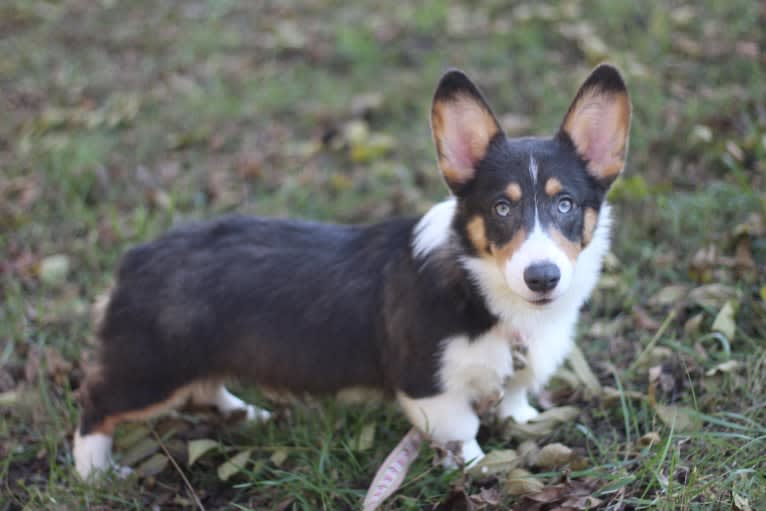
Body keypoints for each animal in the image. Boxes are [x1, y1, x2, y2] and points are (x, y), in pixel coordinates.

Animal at [75, 64, 632, 480]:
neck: (484, 288)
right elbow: (462, 433)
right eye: (501, 208)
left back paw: (245, 414)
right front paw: (479, 469)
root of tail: (134, 260)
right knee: (96, 403)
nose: (543, 277)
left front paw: (523, 421)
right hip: (150, 369)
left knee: (204, 387)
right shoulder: (430, 386)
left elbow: (514, 393)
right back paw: (95, 472)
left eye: (565, 203)